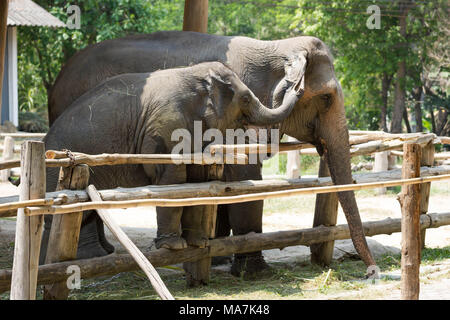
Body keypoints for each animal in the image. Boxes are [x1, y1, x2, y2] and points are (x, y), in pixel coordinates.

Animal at [42, 62, 302, 262]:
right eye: (246, 98)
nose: (296, 86)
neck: (193, 72)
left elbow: (196, 181)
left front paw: (197, 243)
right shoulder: (166, 127)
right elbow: (174, 179)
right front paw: (174, 247)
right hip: (57, 171)